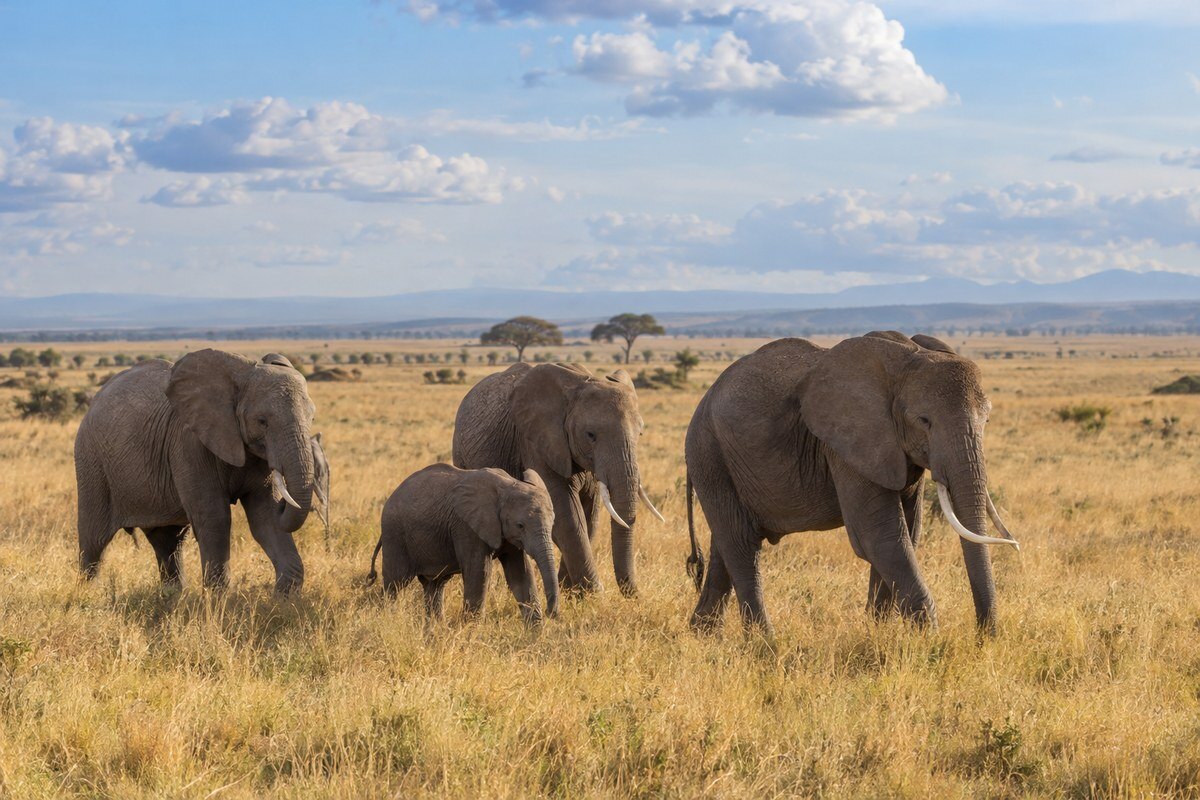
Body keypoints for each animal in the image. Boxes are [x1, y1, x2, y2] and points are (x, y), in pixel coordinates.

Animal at [74, 350, 322, 592]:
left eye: (312, 418)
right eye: (262, 421)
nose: (285, 503)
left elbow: (265, 517)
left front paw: (284, 598)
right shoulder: (189, 445)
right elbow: (215, 517)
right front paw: (218, 598)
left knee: (168, 540)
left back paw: (173, 595)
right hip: (91, 460)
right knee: (94, 540)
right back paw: (89, 593)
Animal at [367, 465, 558, 625]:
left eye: (552, 523)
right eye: (520, 525)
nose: (551, 614)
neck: (508, 484)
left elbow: (521, 574)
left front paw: (535, 636)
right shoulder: (467, 528)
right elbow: (480, 573)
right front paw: (472, 633)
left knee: (434, 585)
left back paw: (435, 630)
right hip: (395, 535)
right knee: (395, 584)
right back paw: (387, 622)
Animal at [452, 362, 663, 596]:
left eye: (640, 433)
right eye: (590, 435)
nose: (636, 595)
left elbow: (590, 516)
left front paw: (572, 592)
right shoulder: (536, 442)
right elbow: (567, 515)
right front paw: (594, 594)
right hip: (462, 456)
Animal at [684, 331, 1019, 636]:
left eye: (987, 420)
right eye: (924, 421)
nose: (983, 638)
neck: (907, 358)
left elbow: (907, 534)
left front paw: (878, 633)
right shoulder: (847, 444)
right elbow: (879, 537)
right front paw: (927, 644)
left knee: (724, 547)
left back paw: (704, 636)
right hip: (710, 454)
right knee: (741, 545)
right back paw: (764, 645)